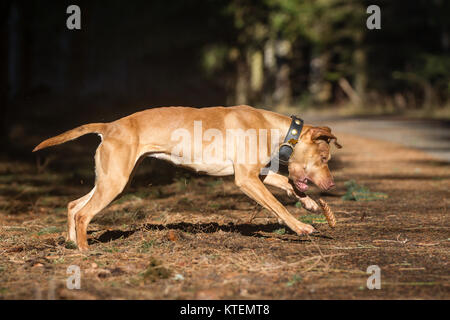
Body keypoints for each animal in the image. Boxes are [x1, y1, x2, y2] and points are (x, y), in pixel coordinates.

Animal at [32, 105, 342, 250]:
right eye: (324, 158)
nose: (331, 184)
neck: (276, 129)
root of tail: (110, 126)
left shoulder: (258, 174)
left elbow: (287, 184)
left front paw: (310, 203)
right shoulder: (246, 179)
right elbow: (277, 206)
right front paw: (300, 227)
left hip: (113, 181)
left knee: (74, 206)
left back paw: (72, 243)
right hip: (114, 183)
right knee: (84, 213)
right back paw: (86, 252)